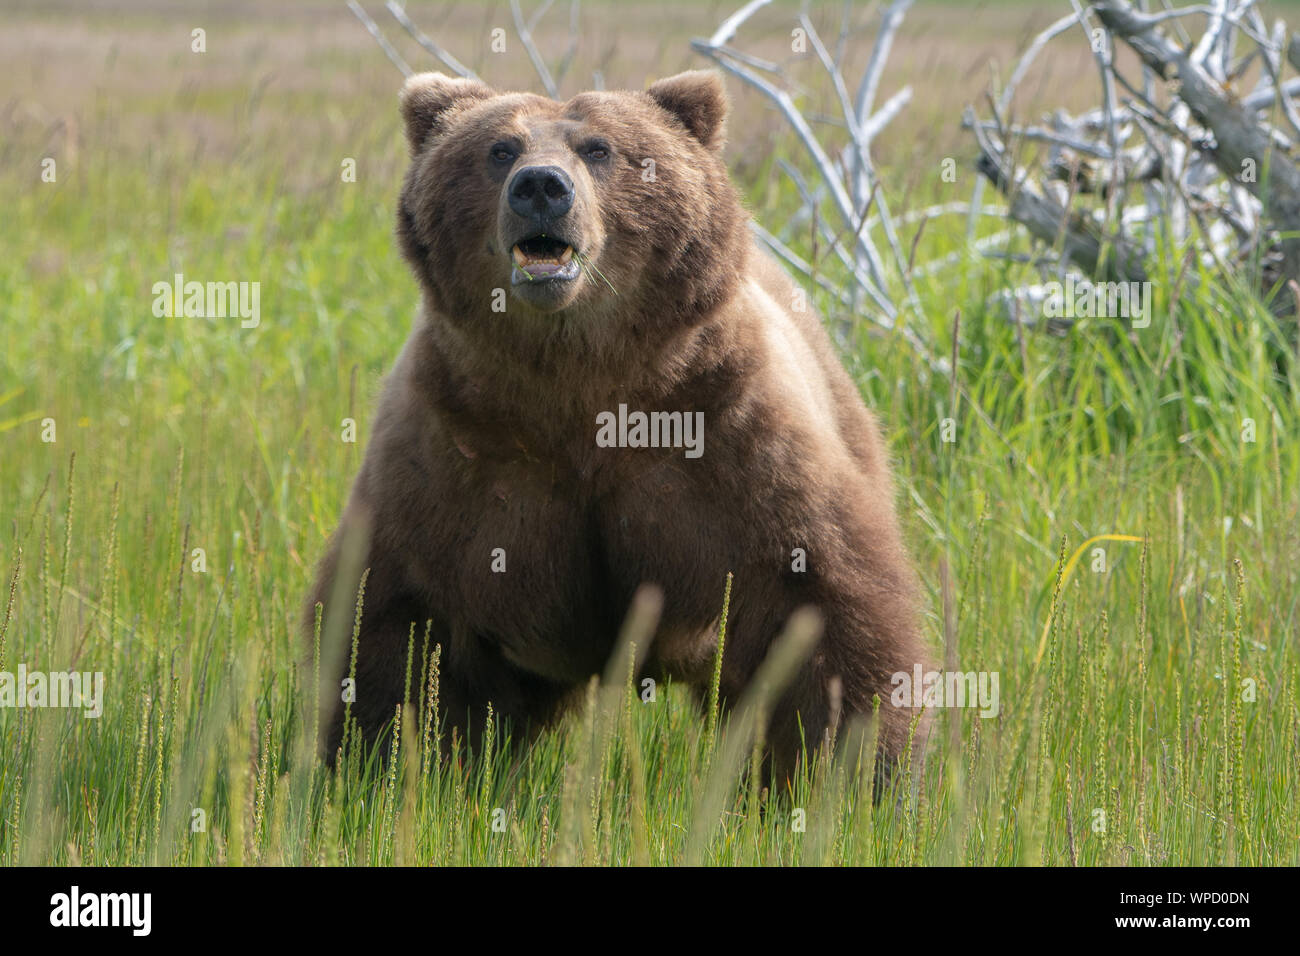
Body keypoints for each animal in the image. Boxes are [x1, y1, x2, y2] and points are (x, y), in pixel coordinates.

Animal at [306, 67, 925, 785]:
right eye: (499, 148)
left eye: (599, 148)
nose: (541, 187)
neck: (583, 381)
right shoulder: (457, 452)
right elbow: (395, 623)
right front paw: (377, 768)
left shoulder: (727, 438)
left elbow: (822, 608)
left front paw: (855, 776)